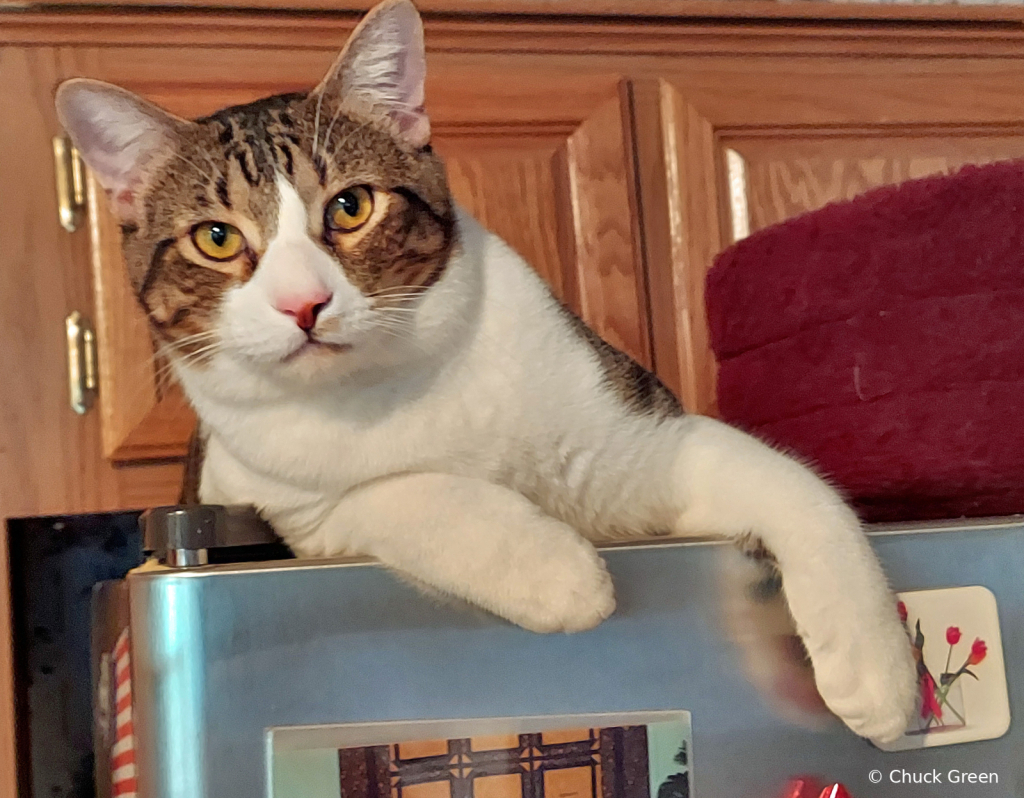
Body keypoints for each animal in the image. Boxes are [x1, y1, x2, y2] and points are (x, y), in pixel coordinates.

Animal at [59, 0, 917, 745]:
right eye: (215, 238)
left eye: (350, 207)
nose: (304, 303)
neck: (390, 382)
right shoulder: (282, 506)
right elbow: (404, 492)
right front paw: (558, 573)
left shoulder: (639, 443)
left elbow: (793, 485)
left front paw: (879, 669)